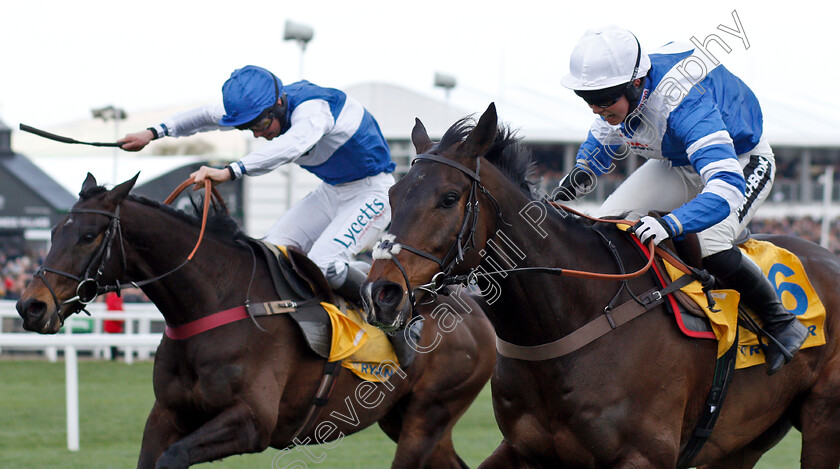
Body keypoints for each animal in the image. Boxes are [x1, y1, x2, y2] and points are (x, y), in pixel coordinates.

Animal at [16, 172, 496, 468]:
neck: (215, 303)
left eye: (88, 235)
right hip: (404, 419)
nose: (30, 306)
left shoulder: (252, 422)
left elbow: (175, 457)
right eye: (54, 231)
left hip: (427, 416)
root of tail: (474, 310)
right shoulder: (167, 413)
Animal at [364, 103, 840, 468]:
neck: (568, 321)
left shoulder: (644, 457)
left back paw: (786, 331)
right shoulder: (522, 450)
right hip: (743, 441)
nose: (381, 295)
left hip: (822, 420)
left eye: (448, 199)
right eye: (391, 196)